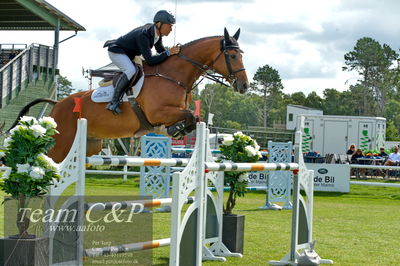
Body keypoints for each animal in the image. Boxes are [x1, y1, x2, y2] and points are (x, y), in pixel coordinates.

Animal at [10, 28, 247, 162]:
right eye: (233, 55)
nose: (244, 85)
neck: (173, 75)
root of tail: (57, 104)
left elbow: (194, 118)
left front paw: (176, 130)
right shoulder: (158, 112)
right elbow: (190, 115)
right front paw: (175, 129)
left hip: (90, 145)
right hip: (61, 145)